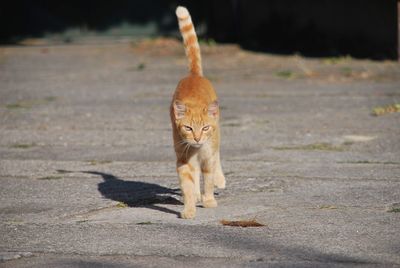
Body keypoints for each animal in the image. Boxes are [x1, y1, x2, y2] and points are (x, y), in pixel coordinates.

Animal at [170, 6, 225, 219]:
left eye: (205, 128)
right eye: (188, 128)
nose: (197, 138)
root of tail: (193, 75)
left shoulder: (208, 157)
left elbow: (208, 180)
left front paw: (208, 200)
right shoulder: (184, 160)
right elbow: (188, 185)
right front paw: (189, 208)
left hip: (216, 140)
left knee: (217, 158)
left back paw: (220, 179)